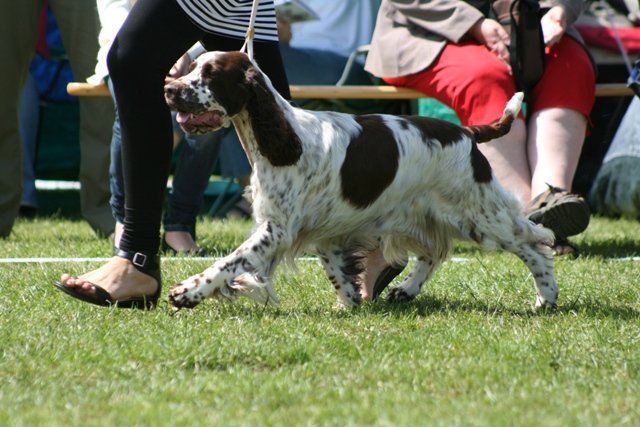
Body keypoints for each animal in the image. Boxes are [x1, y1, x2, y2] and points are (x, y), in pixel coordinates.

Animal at [164, 51, 558, 310]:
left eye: (211, 74)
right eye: (192, 68)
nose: (169, 89)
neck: (283, 139)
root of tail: (466, 132)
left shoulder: (277, 229)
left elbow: (228, 263)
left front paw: (187, 291)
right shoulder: (323, 232)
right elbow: (338, 274)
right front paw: (351, 304)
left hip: (480, 215)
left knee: (534, 245)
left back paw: (546, 297)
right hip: (424, 213)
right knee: (433, 252)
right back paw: (405, 289)